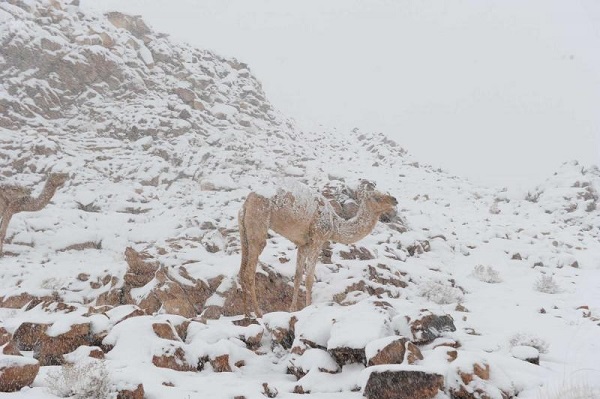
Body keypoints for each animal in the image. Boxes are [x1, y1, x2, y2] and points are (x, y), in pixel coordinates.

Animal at [239, 182, 398, 318]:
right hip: (258, 225)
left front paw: (292, 309)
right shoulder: (317, 239)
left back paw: (246, 313)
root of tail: (247, 201)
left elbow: (297, 277)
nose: (394, 200)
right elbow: (309, 278)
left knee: (242, 270)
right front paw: (308, 308)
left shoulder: (303, 244)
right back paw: (258, 312)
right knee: (249, 272)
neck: (335, 225)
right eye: (376, 197)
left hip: (243, 230)